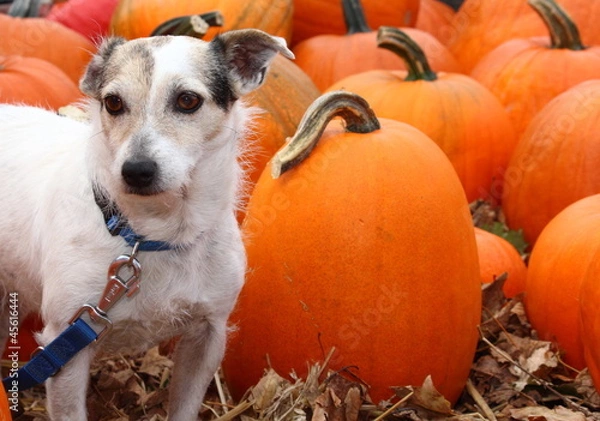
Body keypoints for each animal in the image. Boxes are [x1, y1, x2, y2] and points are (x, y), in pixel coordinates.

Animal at [0, 27, 292, 418]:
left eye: (187, 100)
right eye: (113, 103)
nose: (136, 170)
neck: (152, 235)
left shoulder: (207, 335)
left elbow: (184, 407)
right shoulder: (66, 347)